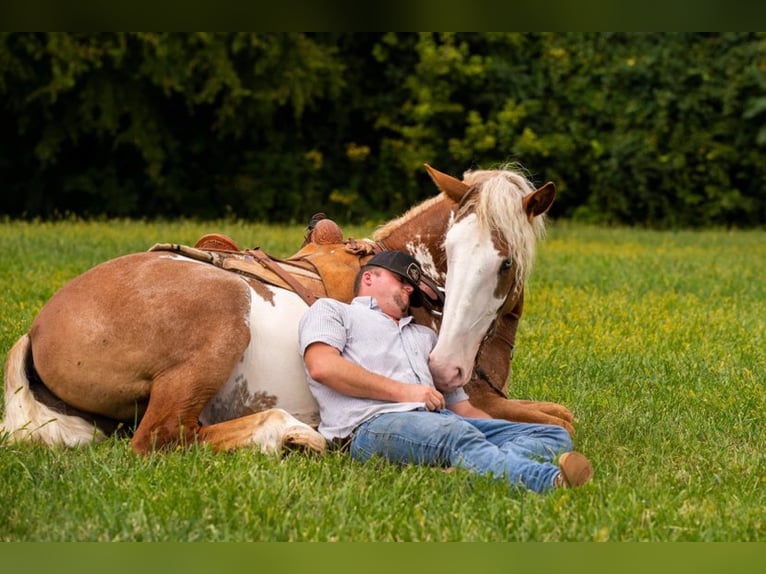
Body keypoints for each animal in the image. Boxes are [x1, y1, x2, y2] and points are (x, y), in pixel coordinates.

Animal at [1, 164, 576, 456]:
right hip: (220, 318)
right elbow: (564, 420)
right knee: (159, 438)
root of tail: (39, 329)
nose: (447, 365)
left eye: (505, 263)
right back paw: (287, 432)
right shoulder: (479, 401)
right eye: (451, 254)